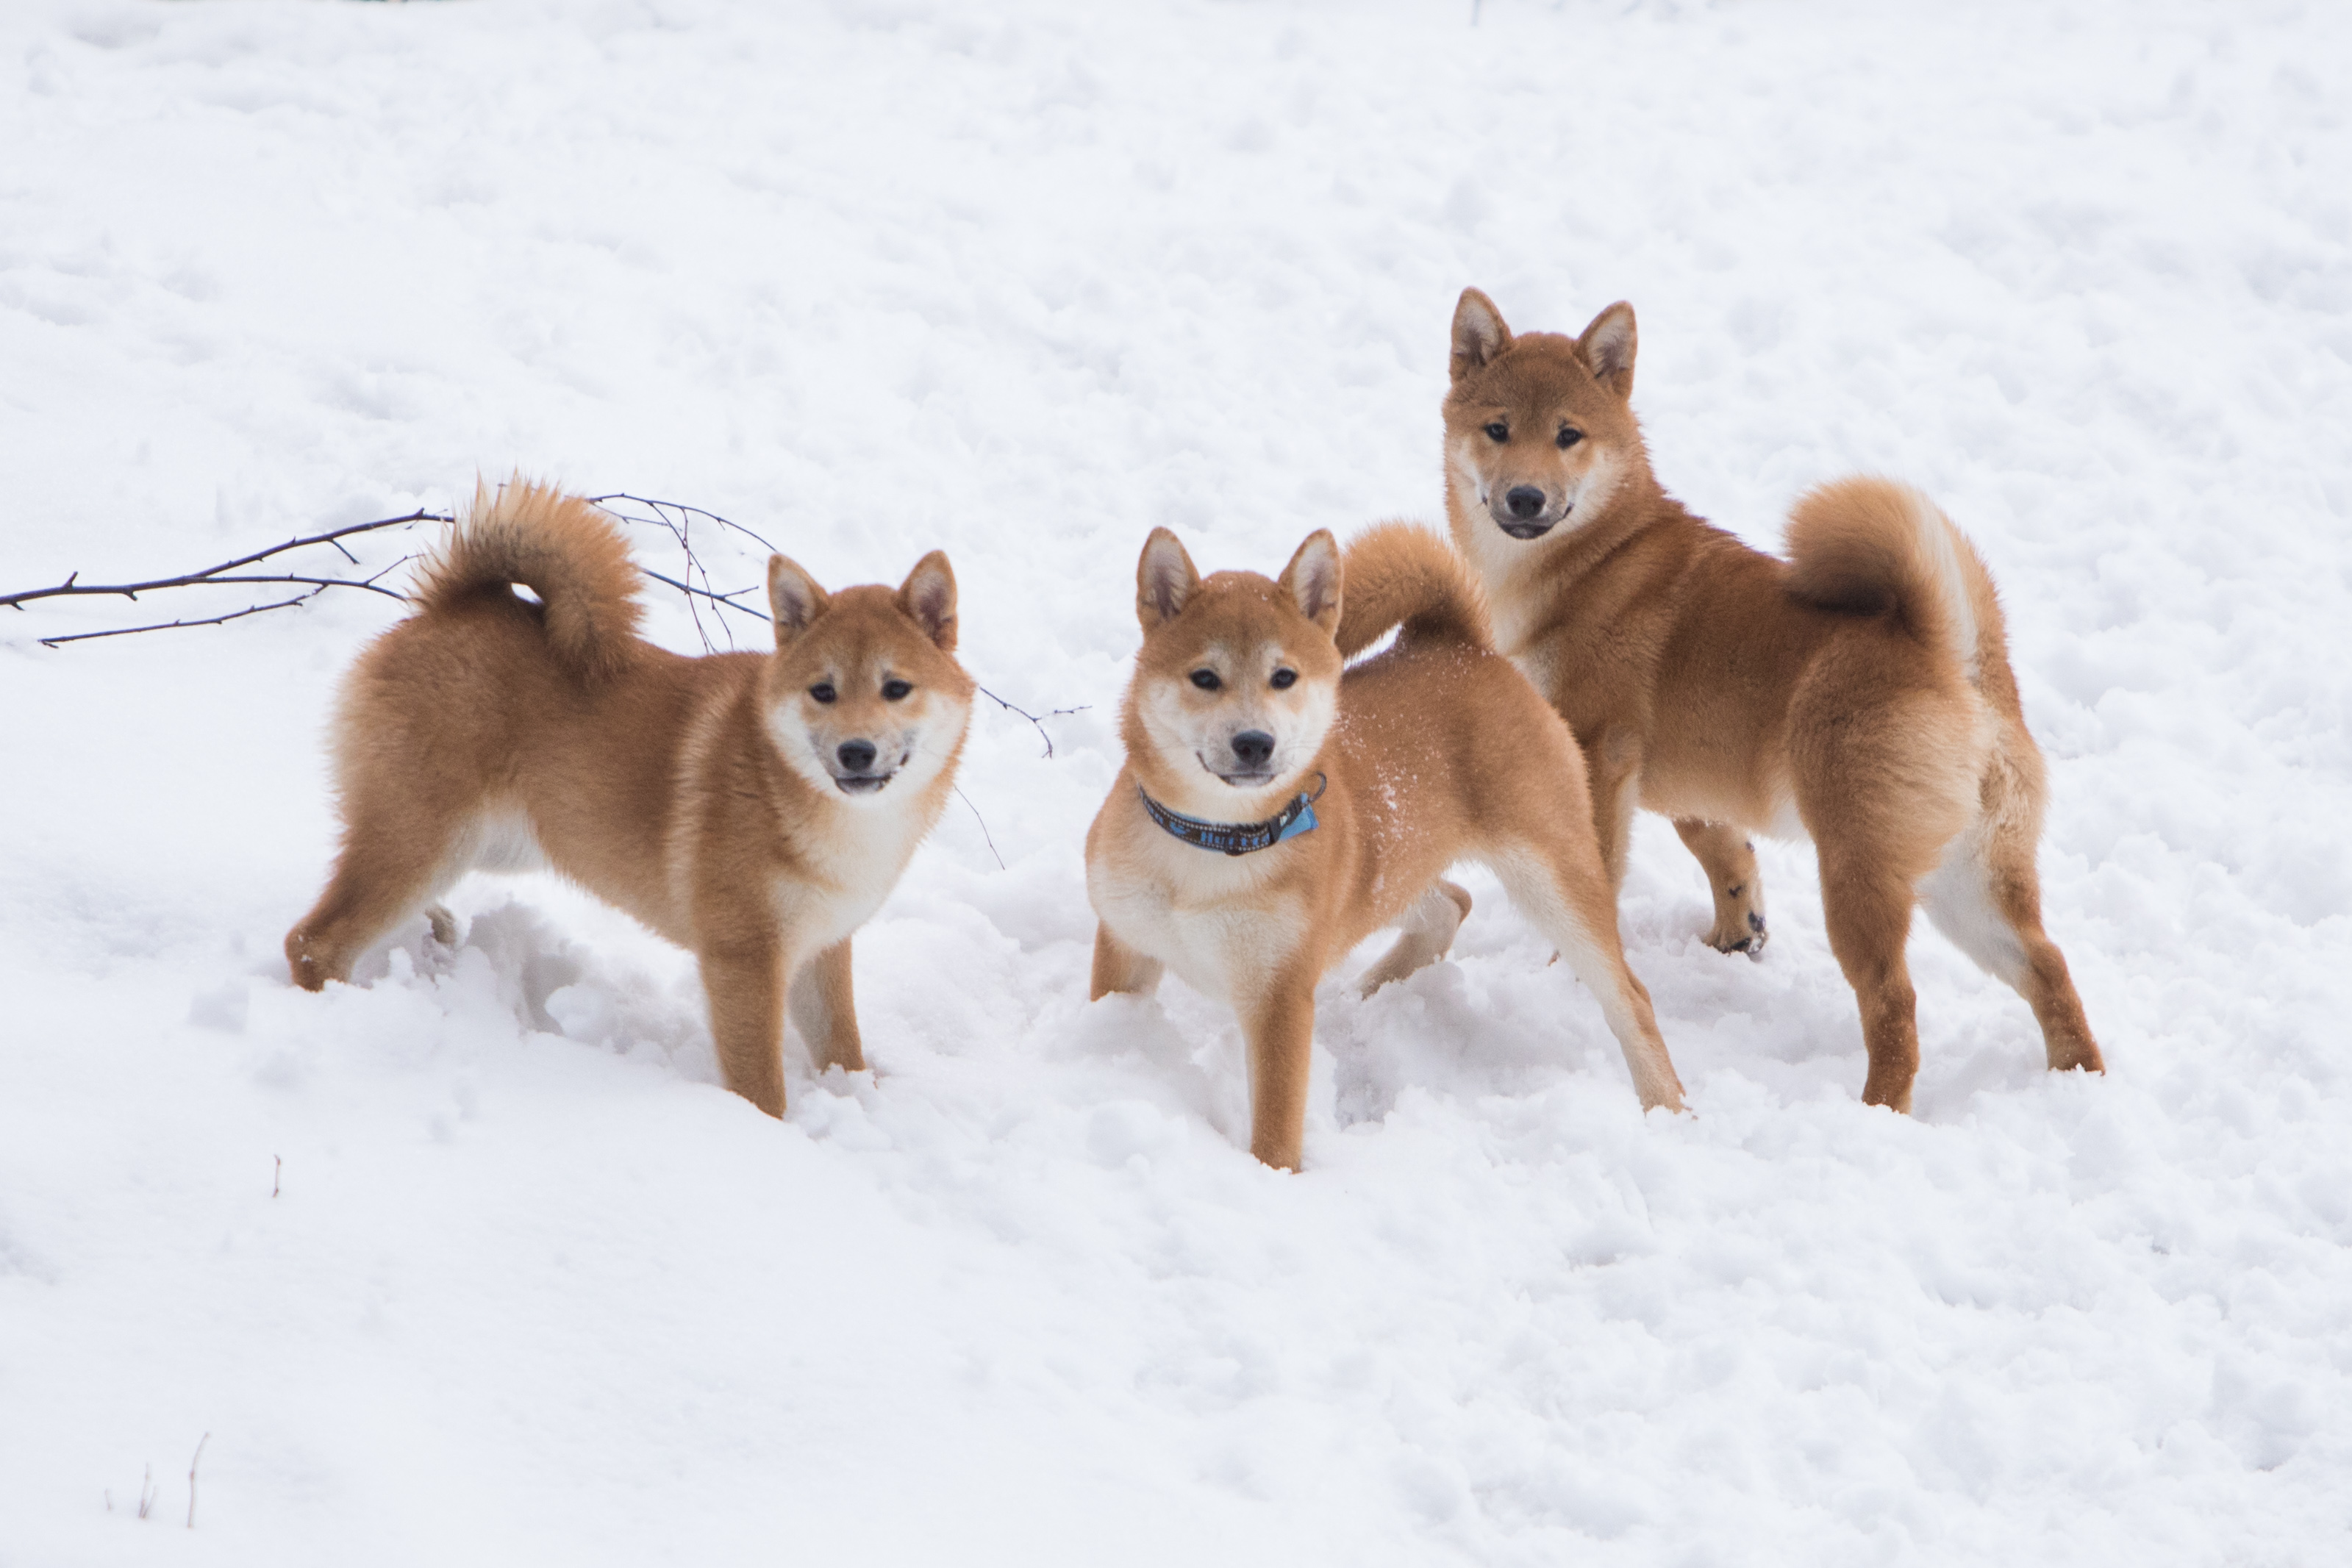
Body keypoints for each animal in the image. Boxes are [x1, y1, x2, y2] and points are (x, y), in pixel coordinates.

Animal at [289, 482, 968, 1114]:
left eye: (896, 688)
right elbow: (762, 1090)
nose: (856, 751)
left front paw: (860, 1104)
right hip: (424, 842)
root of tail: (452, 605)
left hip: (484, 846)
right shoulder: (743, 960)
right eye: (822, 691)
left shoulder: (819, 949)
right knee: (312, 943)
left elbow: (843, 1052)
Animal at [1439, 287, 2107, 1109]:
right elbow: (1722, 848)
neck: (1590, 561)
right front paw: (1738, 931)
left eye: (1568, 436)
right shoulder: (1685, 781)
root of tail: (1948, 655)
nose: (1526, 496)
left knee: (1894, 999)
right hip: (1967, 880)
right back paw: (2077, 1079)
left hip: (1857, 873)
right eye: (1497, 430)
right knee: (2047, 967)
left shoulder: (1596, 756)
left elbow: (1597, 885)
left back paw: (1877, 1111)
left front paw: (1567, 978)